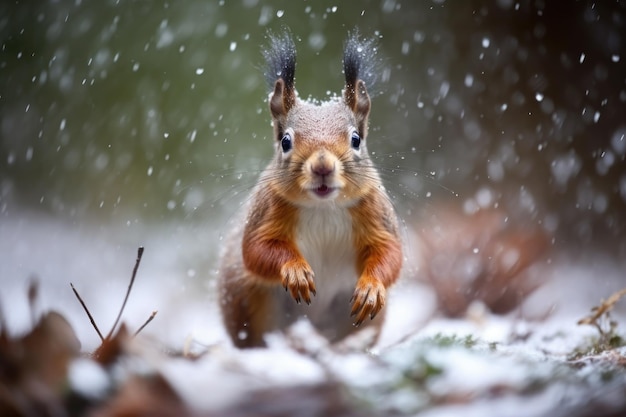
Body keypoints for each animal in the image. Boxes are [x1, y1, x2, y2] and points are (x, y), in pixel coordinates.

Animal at [217, 30, 402, 346]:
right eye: (285, 142)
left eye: (356, 139)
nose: (322, 167)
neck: (324, 206)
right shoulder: (267, 209)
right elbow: (255, 249)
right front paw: (296, 272)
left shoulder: (375, 210)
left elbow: (390, 252)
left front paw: (371, 288)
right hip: (249, 300)